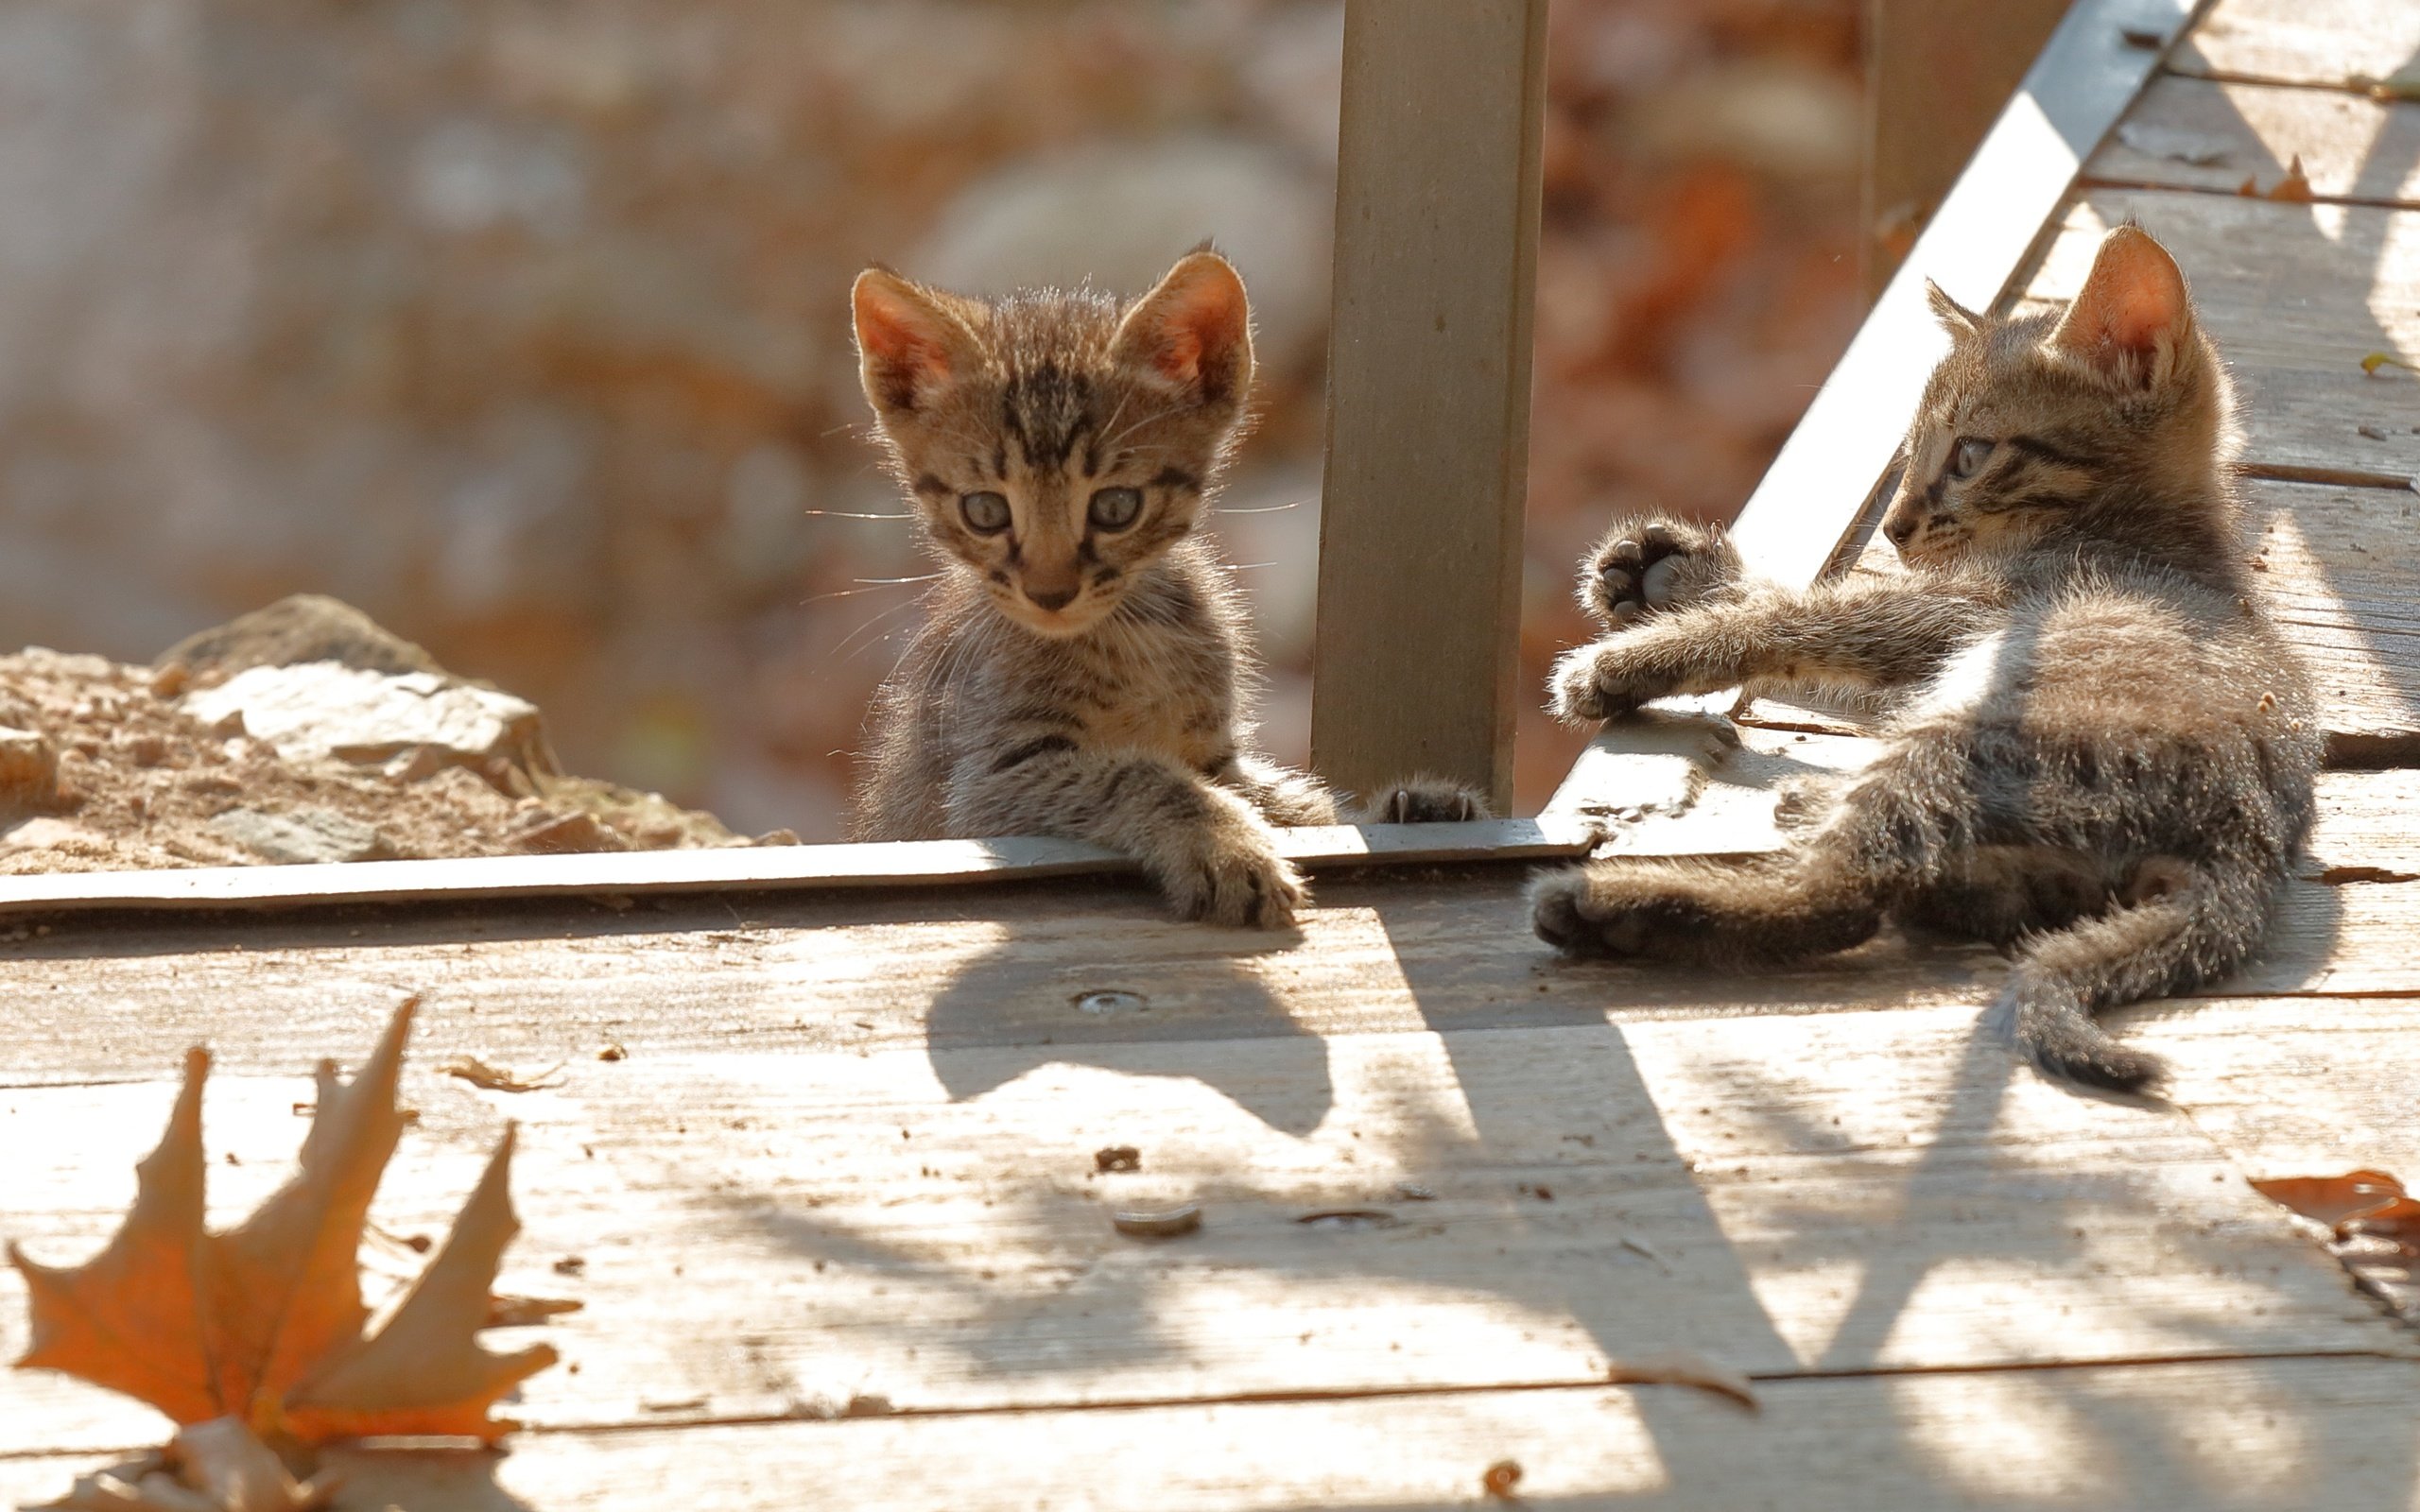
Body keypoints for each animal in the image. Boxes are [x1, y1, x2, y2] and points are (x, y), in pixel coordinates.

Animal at [841, 249, 1480, 919]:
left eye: (1116, 507)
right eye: (985, 511)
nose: (1050, 594)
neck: (1132, 635)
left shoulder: (1217, 753)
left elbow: (1296, 804)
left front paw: (1398, 810)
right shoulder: (986, 783)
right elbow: (1138, 774)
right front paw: (1228, 848)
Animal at [1529, 223, 2323, 1083]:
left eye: (1970, 455)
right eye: (1910, 452)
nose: (1894, 525)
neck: (2157, 530)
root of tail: (2246, 844)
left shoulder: (1955, 613)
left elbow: (1789, 619)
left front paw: (1627, 658)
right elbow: (1792, 615)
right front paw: (1669, 571)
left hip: (1966, 733)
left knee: (1840, 897)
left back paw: (1612, 906)